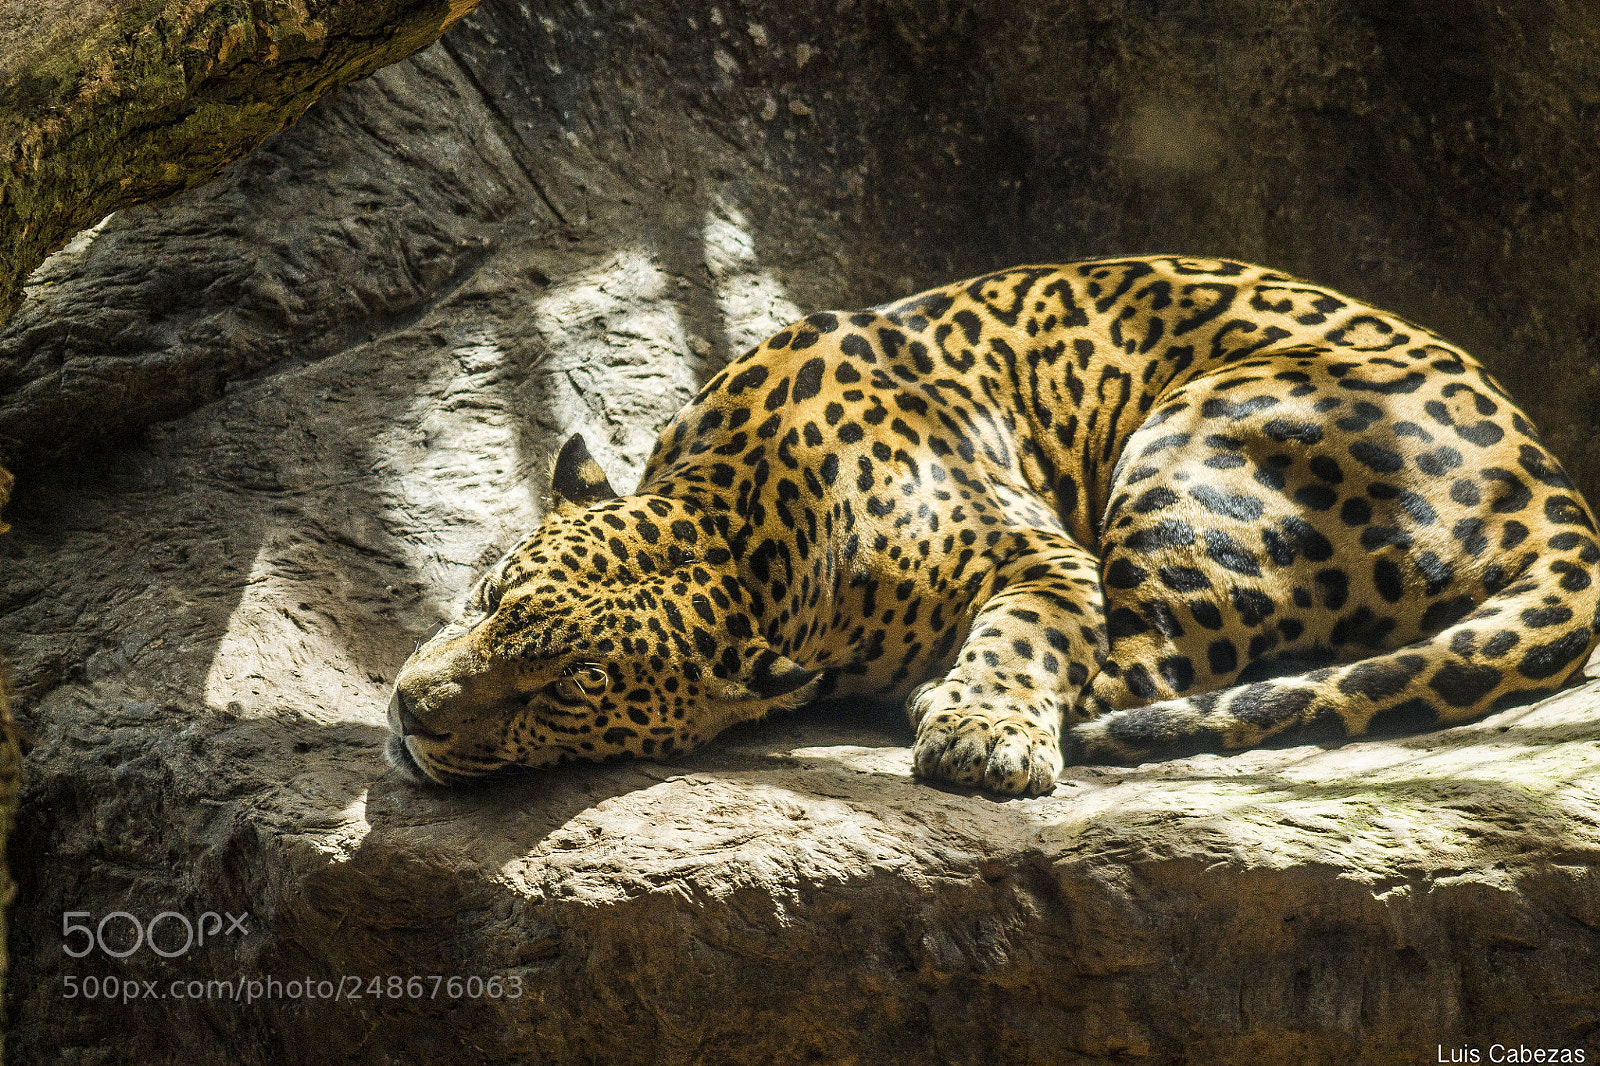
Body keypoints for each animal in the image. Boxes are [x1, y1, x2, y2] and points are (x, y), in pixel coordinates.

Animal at [386, 256, 1600, 795]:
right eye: (487, 599)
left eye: (565, 692)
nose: (408, 709)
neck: (743, 511)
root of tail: (1553, 484)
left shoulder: (1039, 551)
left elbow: (1027, 635)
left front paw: (981, 731)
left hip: (1201, 444)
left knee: (1144, 668)